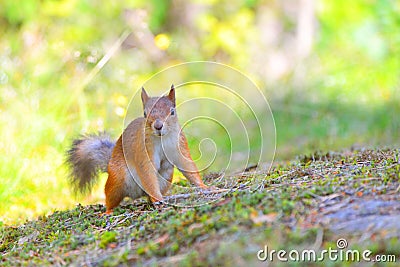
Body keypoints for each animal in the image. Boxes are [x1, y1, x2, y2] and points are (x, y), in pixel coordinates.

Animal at [65, 85, 206, 215]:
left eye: (172, 112)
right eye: (145, 113)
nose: (158, 126)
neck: (162, 139)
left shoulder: (180, 145)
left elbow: (187, 166)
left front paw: (204, 186)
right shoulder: (143, 150)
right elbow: (146, 172)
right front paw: (158, 200)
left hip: (165, 179)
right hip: (117, 180)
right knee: (110, 198)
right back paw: (108, 211)